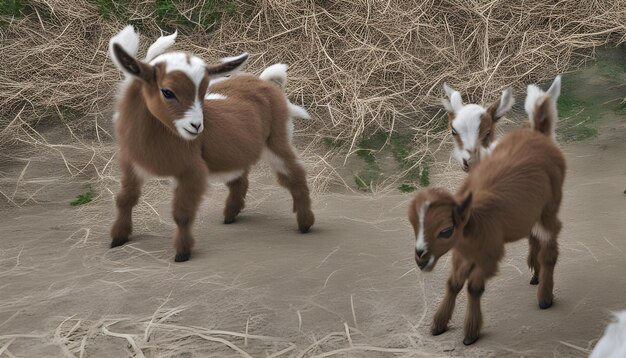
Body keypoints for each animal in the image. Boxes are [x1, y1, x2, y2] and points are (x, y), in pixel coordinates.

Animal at [108, 24, 314, 260]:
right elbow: (125, 199)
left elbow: (182, 213)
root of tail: (262, 80)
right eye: (167, 91)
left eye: (204, 90)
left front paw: (182, 253)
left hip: (277, 138)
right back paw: (231, 214)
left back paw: (305, 223)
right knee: (239, 178)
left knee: (294, 173)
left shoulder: (191, 171)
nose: (197, 126)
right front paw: (118, 238)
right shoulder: (130, 165)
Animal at [408, 87, 564, 344]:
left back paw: (543, 292)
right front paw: (439, 323)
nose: (468, 160)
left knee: (546, 238)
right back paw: (535, 272)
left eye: (487, 131)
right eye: (453, 130)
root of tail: (537, 131)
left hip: (550, 203)